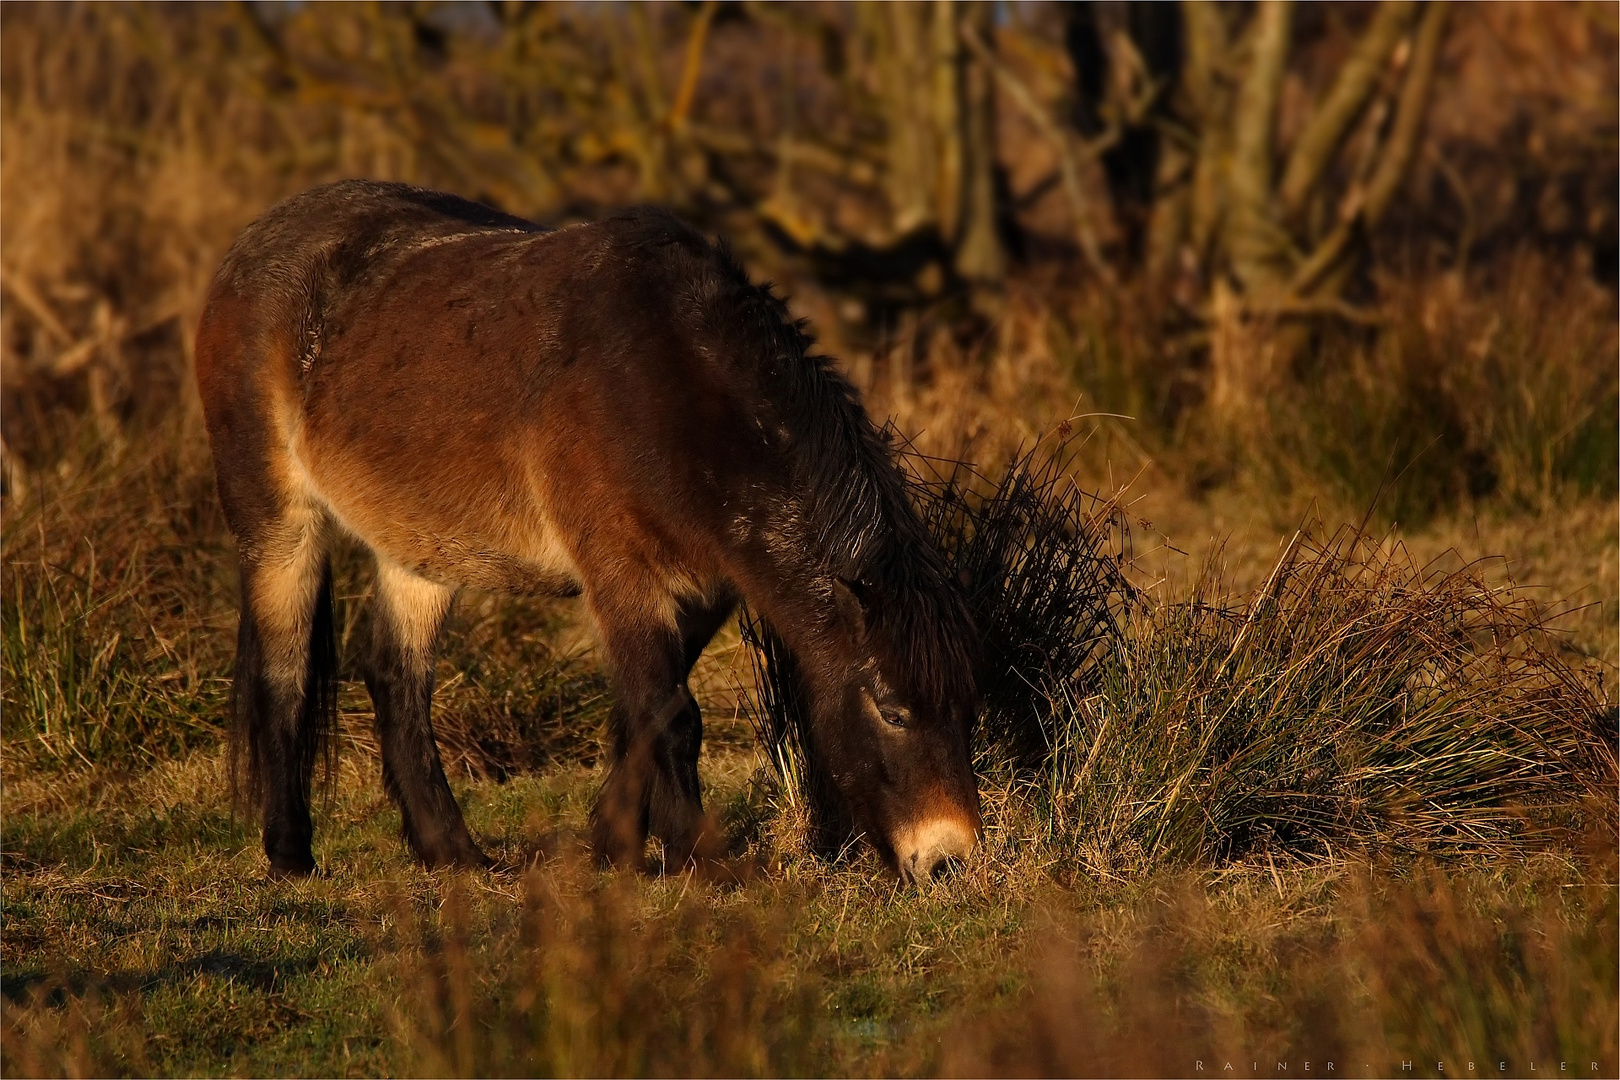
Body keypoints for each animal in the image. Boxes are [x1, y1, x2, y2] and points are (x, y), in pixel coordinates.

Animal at [196, 181, 978, 880]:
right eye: (893, 711)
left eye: (966, 710)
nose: (948, 861)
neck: (667, 383)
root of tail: (248, 250)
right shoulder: (621, 575)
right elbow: (672, 716)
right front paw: (706, 862)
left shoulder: (702, 591)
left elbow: (639, 720)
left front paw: (612, 849)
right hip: (278, 524)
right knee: (285, 674)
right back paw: (292, 855)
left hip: (418, 554)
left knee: (397, 679)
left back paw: (452, 854)